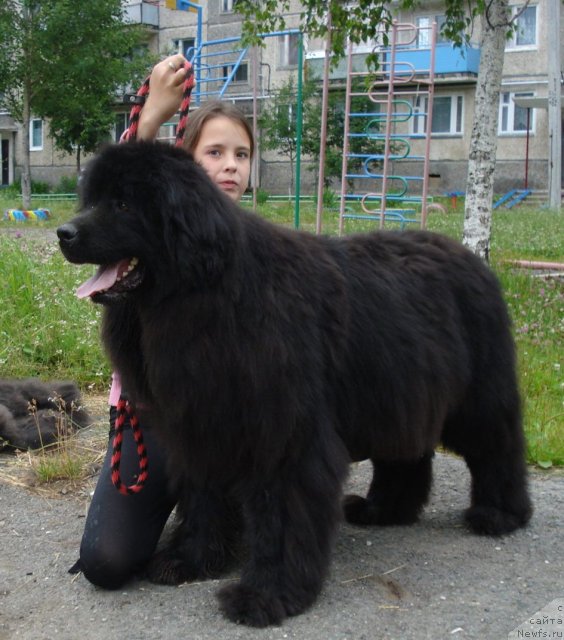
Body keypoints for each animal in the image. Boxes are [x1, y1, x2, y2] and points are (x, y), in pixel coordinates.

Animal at [58, 142, 532, 628]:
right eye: (92, 199)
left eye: (123, 204)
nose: (64, 232)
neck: (209, 293)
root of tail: (473, 258)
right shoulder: (202, 427)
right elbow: (203, 500)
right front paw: (190, 559)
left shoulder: (284, 437)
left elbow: (282, 519)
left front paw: (265, 595)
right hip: (398, 392)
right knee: (405, 455)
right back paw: (382, 511)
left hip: (474, 399)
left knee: (498, 448)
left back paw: (499, 514)